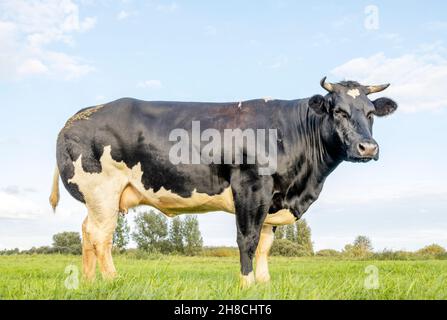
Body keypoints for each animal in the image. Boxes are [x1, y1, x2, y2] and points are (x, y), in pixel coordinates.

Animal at [50, 78, 400, 288]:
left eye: (370, 112)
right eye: (338, 111)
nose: (368, 148)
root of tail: (80, 115)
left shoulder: (273, 199)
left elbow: (265, 245)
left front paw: (264, 284)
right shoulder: (251, 187)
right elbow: (247, 239)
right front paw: (246, 284)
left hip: (99, 198)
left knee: (87, 232)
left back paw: (89, 282)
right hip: (103, 191)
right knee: (101, 236)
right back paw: (112, 280)